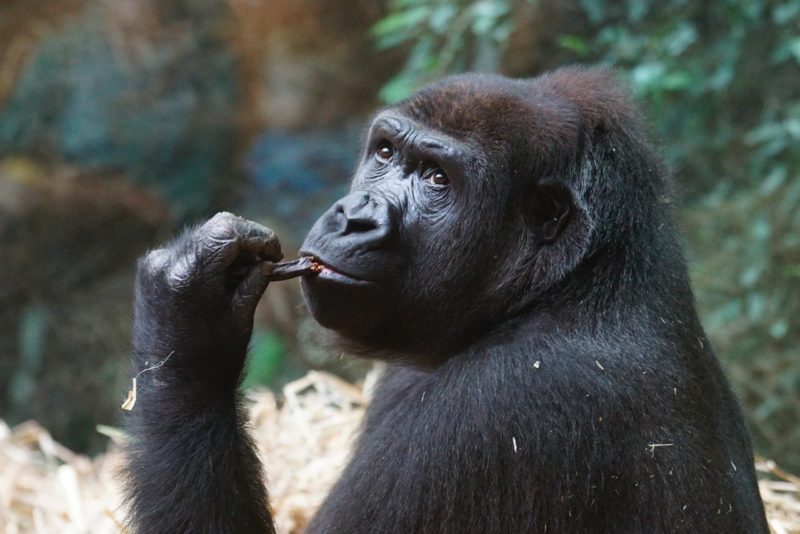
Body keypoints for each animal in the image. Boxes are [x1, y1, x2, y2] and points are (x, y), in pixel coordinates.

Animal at [123, 69, 768, 532]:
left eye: (437, 179)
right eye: (385, 154)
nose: (353, 217)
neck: (577, 280)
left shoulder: (508, 404)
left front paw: (187, 323)